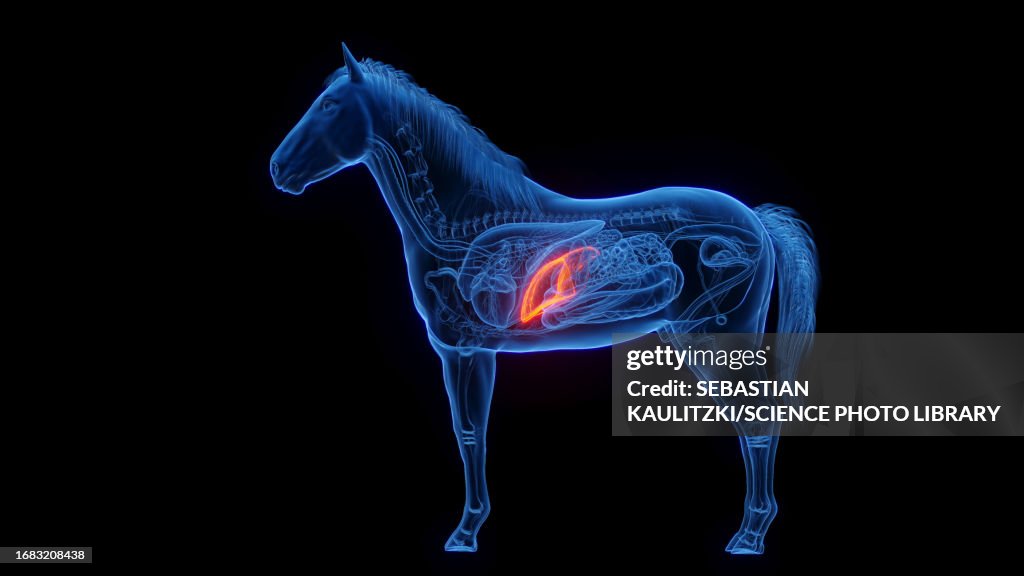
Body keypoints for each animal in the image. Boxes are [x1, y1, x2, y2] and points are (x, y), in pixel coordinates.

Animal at [271, 43, 819, 555]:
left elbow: (469, 434)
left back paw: (749, 536)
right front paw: (468, 529)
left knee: (758, 418)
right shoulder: (463, 350)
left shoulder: (465, 348)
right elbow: (470, 434)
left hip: (719, 336)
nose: (277, 170)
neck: (457, 227)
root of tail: (755, 222)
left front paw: (464, 533)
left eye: (329, 104)